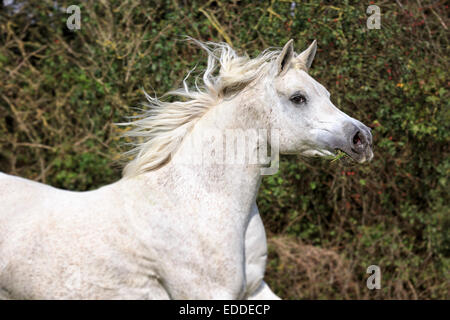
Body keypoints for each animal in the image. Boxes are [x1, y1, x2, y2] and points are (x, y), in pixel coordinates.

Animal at [0, 40, 372, 300]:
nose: (362, 138)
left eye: (326, 93)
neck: (196, 202)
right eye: (298, 97)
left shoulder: (254, 288)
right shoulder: (207, 292)